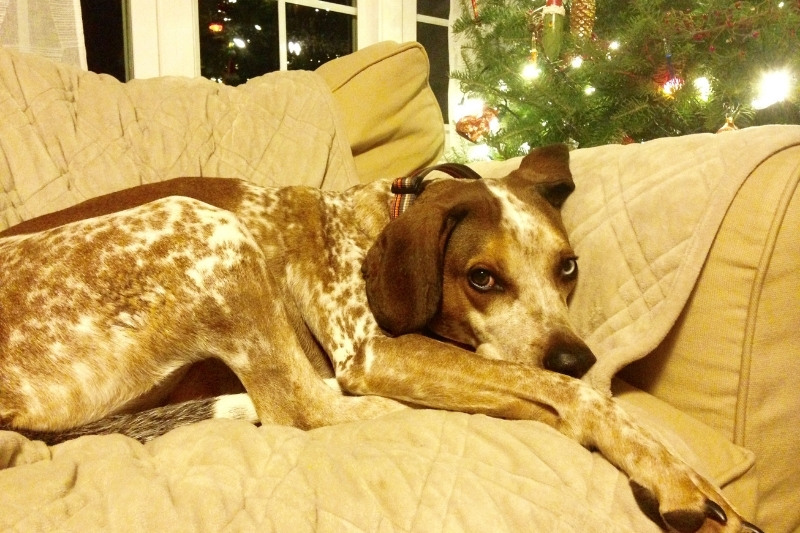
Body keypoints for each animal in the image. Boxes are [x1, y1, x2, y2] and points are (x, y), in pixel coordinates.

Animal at [0, 145, 760, 532]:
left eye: (568, 266)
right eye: (481, 278)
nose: (580, 355)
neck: (382, 218)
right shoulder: (376, 349)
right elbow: (576, 396)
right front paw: (673, 474)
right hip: (201, 224)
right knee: (302, 408)